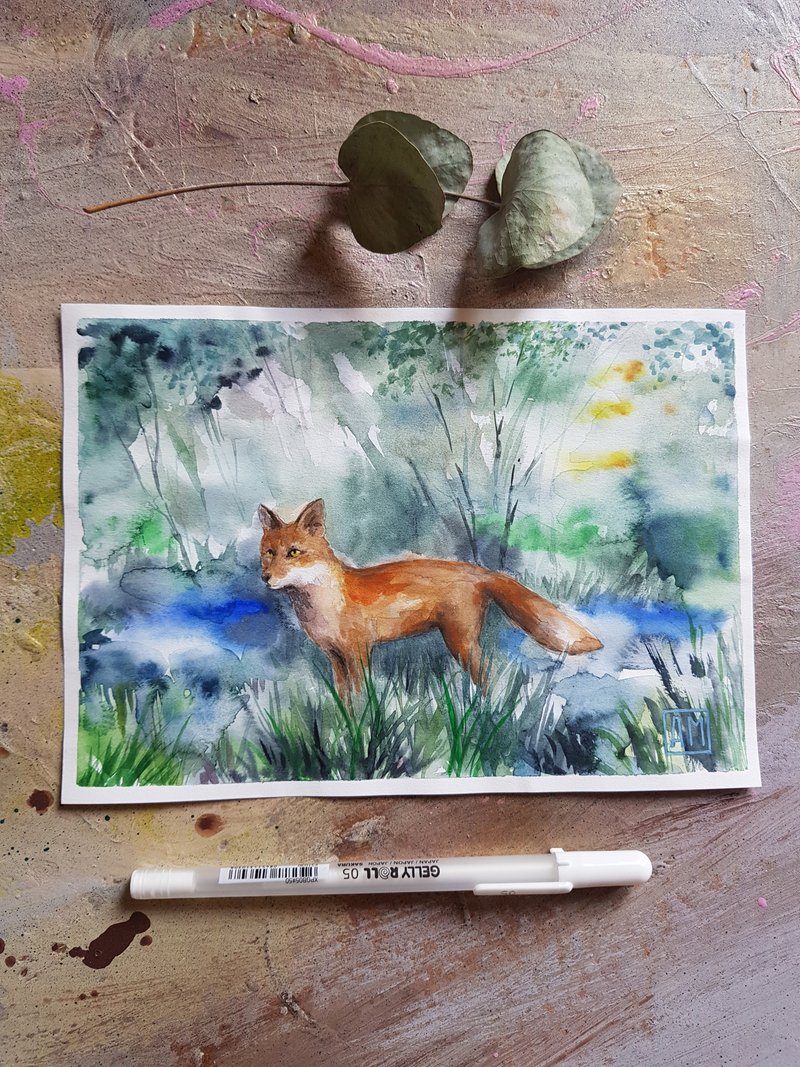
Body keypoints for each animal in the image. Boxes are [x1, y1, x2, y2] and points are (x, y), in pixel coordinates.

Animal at [258, 499, 602, 695]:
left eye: (294, 553)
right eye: (269, 553)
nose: (266, 578)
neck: (324, 605)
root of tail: (478, 570)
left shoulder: (358, 652)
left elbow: (363, 698)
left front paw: (364, 729)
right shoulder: (334, 658)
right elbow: (345, 701)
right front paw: (346, 729)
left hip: (460, 643)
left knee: (488, 676)